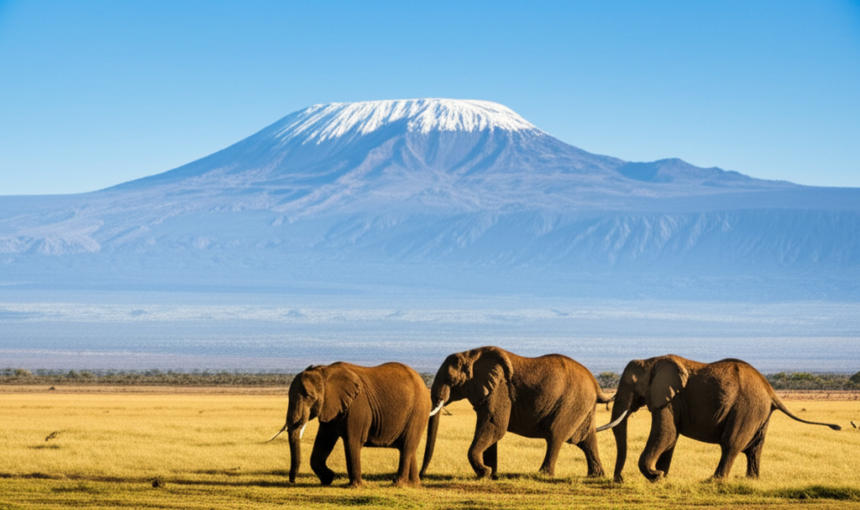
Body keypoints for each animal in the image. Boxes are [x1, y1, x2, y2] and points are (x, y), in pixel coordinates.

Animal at [269, 361, 430, 487]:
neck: (325, 371)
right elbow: (324, 441)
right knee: (407, 448)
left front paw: (356, 486)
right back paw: (414, 484)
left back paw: (398, 484)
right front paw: (329, 479)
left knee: (407, 447)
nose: (292, 482)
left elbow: (352, 442)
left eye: (309, 397)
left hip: (418, 411)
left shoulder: (356, 406)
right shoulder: (331, 407)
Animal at [420, 346, 614, 479]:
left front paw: (485, 473)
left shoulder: (500, 390)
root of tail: (595, 383)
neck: (471, 354)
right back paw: (595, 476)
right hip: (582, 405)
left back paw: (543, 475)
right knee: (587, 439)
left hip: (571, 402)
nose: (422, 475)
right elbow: (491, 431)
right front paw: (492, 474)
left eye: (450, 379)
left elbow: (494, 427)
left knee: (555, 435)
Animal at [602, 355, 842, 482]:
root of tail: (770, 390)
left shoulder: (670, 398)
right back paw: (751, 481)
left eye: (631, 385)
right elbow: (670, 438)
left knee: (731, 444)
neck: (651, 360)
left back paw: (713, 481)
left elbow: (666, 434)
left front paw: (655, 475)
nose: (619, 479)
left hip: (747, 408)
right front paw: (663, 477)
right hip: (760, 413)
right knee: (755, 448)